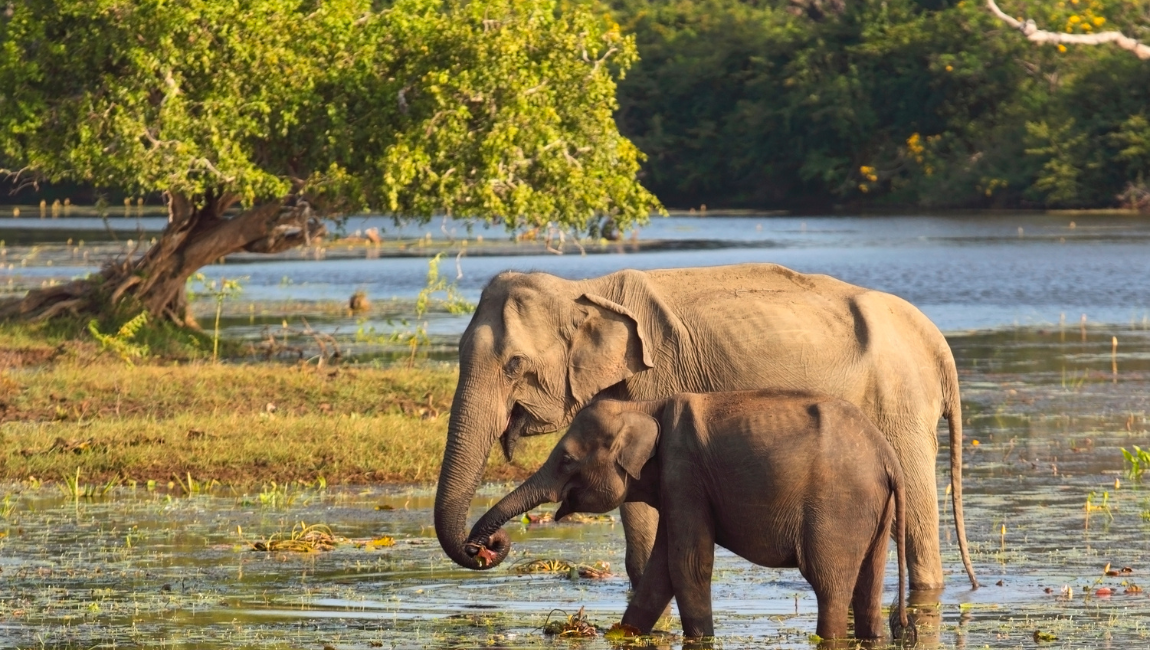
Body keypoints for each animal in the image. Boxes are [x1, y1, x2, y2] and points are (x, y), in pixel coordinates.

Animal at [434, 263, 976, 591]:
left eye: (513, 365)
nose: (487, 548)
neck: (584, 289)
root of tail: (937, 343)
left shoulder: (658, 380)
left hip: (900, 403)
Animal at [463, 392, 917, 643]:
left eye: (567, 460)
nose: (485, 548)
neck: (645, 406)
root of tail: (889, 457)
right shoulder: (675, 484)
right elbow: (661, 569)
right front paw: (620, 634)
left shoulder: (685, 473)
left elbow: (687, 564)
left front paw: (700, 638)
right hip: (873, 513)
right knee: (868, 585)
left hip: (838, 507)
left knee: (829, 585)